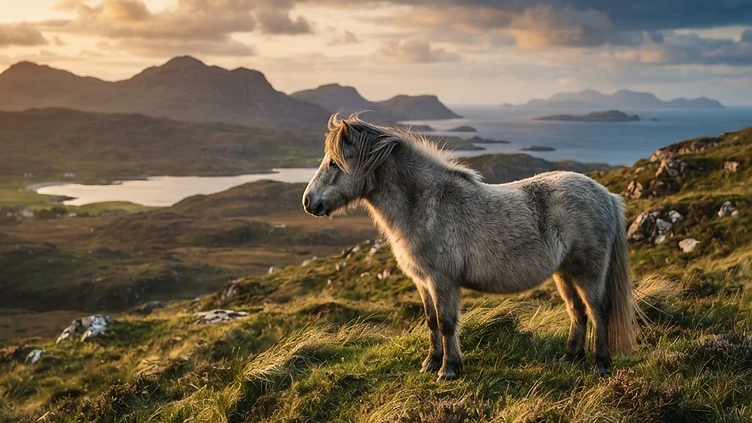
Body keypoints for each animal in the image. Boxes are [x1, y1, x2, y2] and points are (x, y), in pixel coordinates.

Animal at [302, 114, 638, 381]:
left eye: (333, 163)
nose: (308, 202)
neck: (423, 204)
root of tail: (607, 195)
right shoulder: (423, 282)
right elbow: (431, 322)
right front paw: (431, 363)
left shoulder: (442, 281)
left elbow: (447, 323)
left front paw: (449, 370)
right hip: (564, 273)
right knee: (577, 311)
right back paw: (570, 357)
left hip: (588, 272)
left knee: (598, 310)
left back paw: (600, 364)